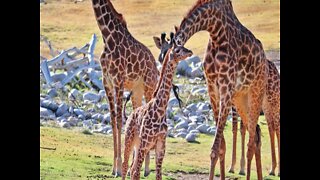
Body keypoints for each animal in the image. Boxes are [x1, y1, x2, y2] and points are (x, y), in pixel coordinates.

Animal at [122, 32, 192, 180]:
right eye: (177, 50)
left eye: (183, 46)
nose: (190, 51)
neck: (159, 110)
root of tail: (130, 115)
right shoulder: (145, 144)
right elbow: (136, 173)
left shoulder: (160, 146)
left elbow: (158, 175)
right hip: (130, 140)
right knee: (126, 167)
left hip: (138, 144)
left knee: (131, 168)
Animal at [171, 0, 272, 179]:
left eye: (177, 52)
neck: (215, 30)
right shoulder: (212, 88)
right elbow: (221, 147)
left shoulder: (226, 88)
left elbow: (215, 148)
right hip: (240, 98)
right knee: (257, 134)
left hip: (256, 92)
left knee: (251, 142)